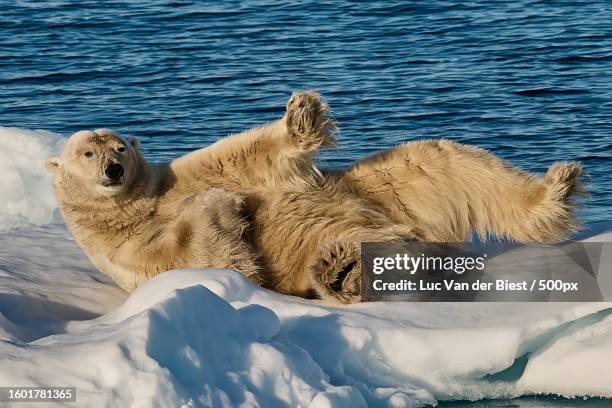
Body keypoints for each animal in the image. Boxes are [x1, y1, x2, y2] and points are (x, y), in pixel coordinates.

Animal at [45, 92, 580, 302]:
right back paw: (344, 270)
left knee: (451, 162)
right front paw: (223, 208)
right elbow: (197, 255)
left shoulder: (174, 177)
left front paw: (301, 115)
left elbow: (241, 157)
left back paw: (560, 186)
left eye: (119, 147)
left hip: (390, 188)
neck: (136, 205)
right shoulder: (124, 248)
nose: (114, 169)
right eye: (88, 152)